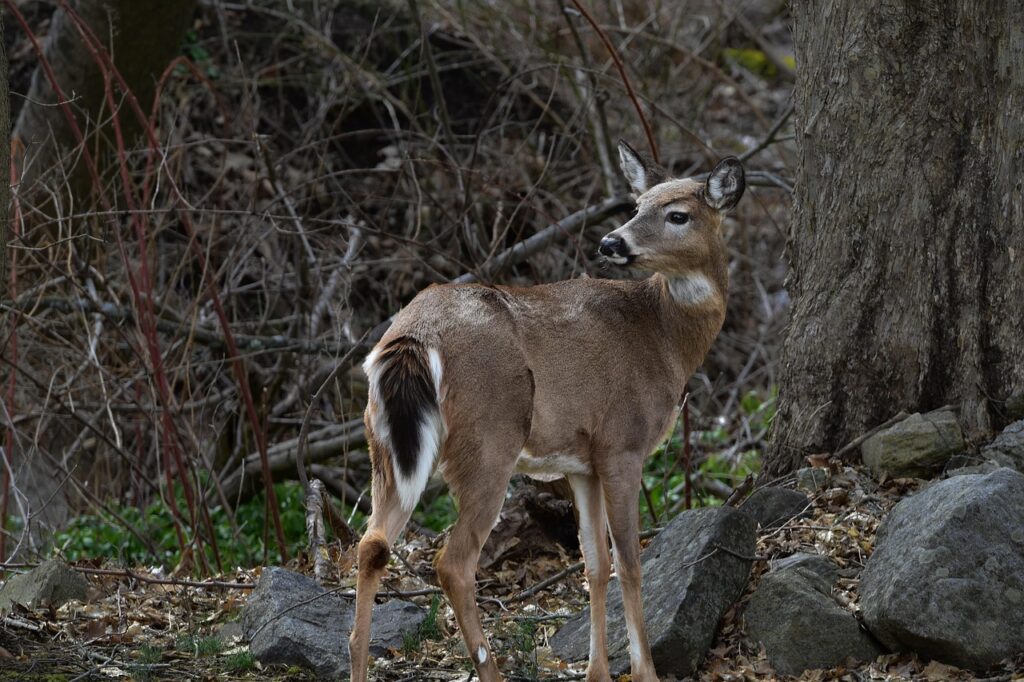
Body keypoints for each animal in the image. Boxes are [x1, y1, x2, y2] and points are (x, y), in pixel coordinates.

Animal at [348, 142, 745, 682]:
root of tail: (413, 336)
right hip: (488, 442)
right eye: (638, 205)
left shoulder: (582, 462)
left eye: (677, 214)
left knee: (372, 543)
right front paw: (645, 671)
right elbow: (630, 562)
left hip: (384, 443)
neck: (664, 339)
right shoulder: (622, 443)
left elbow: (594, 564)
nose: (611, 241)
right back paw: (489, 668)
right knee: (453, 562)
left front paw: (597, 673)